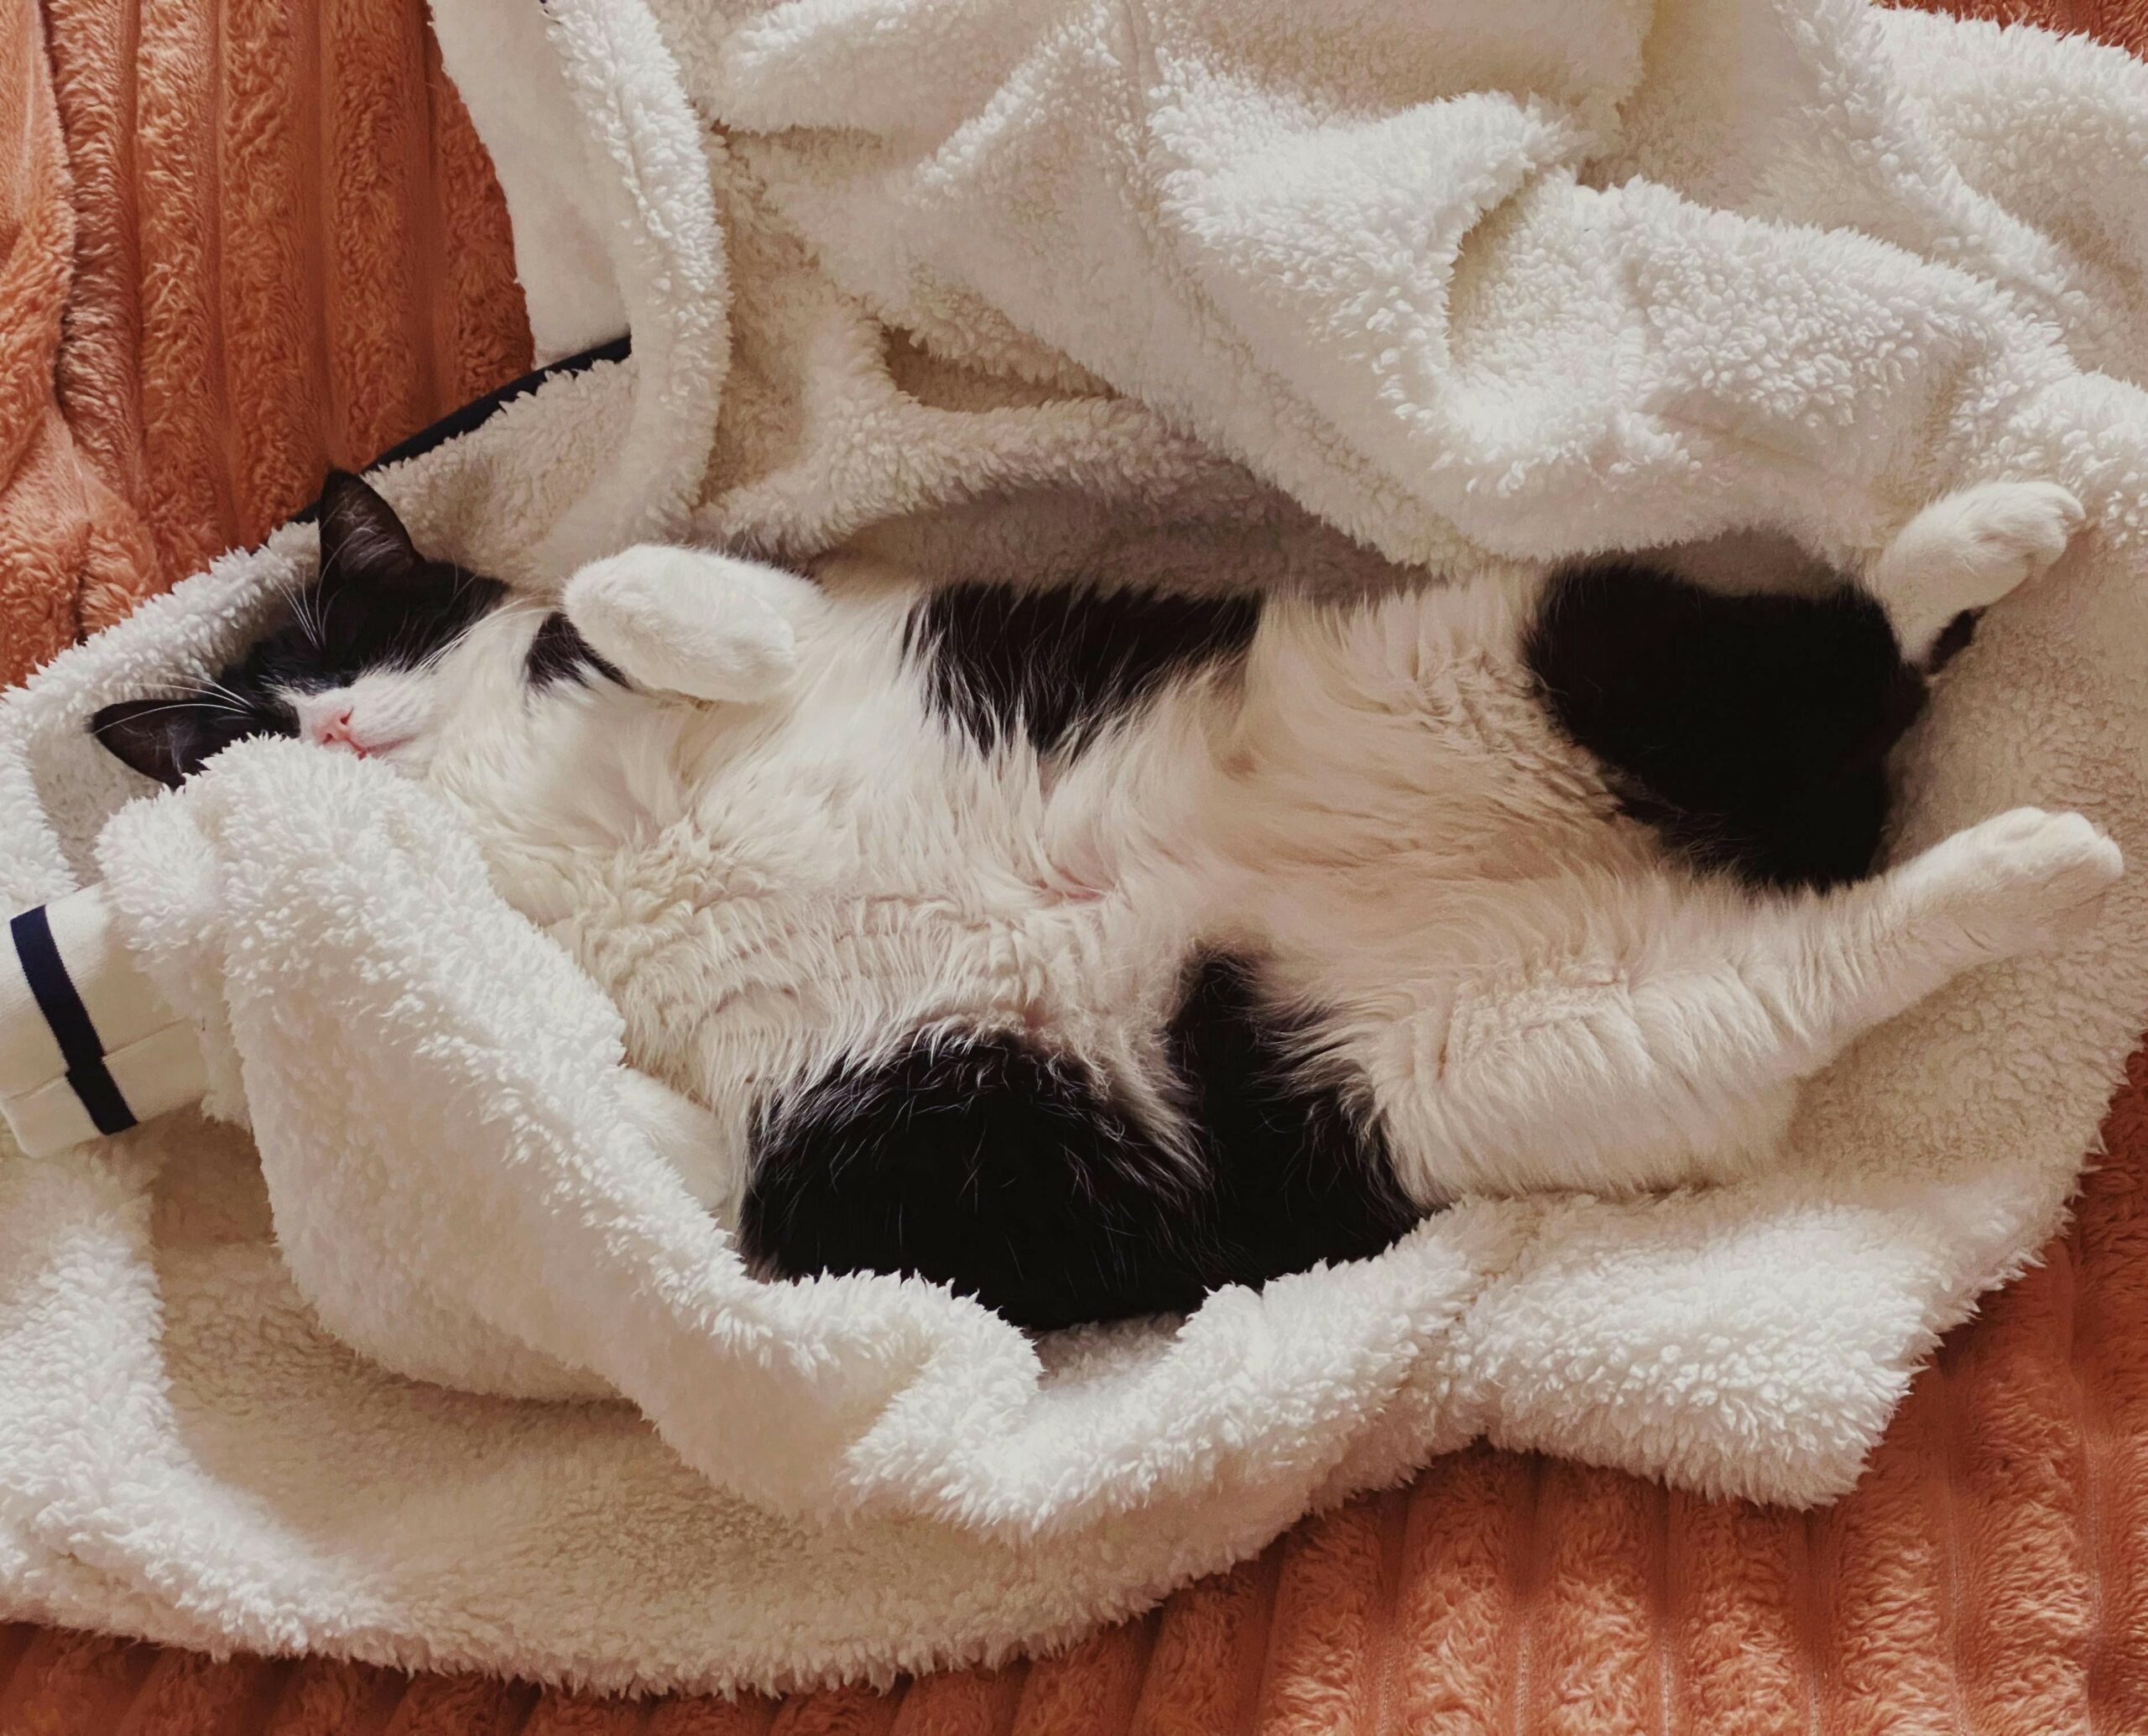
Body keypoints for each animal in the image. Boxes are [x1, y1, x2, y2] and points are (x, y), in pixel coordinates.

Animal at [96, 470, 2114, 1332]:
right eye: (226, 734)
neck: (501, 807)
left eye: (346, 634)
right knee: (1825, 959)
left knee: (1851, 657)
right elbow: (641, 1131)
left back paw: (2003, 526)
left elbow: (620, 582)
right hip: (1503, 1057)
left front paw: (626, 621)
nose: (326, 727)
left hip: (1518, 648)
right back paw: (2033, 865)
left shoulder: (820, 605)